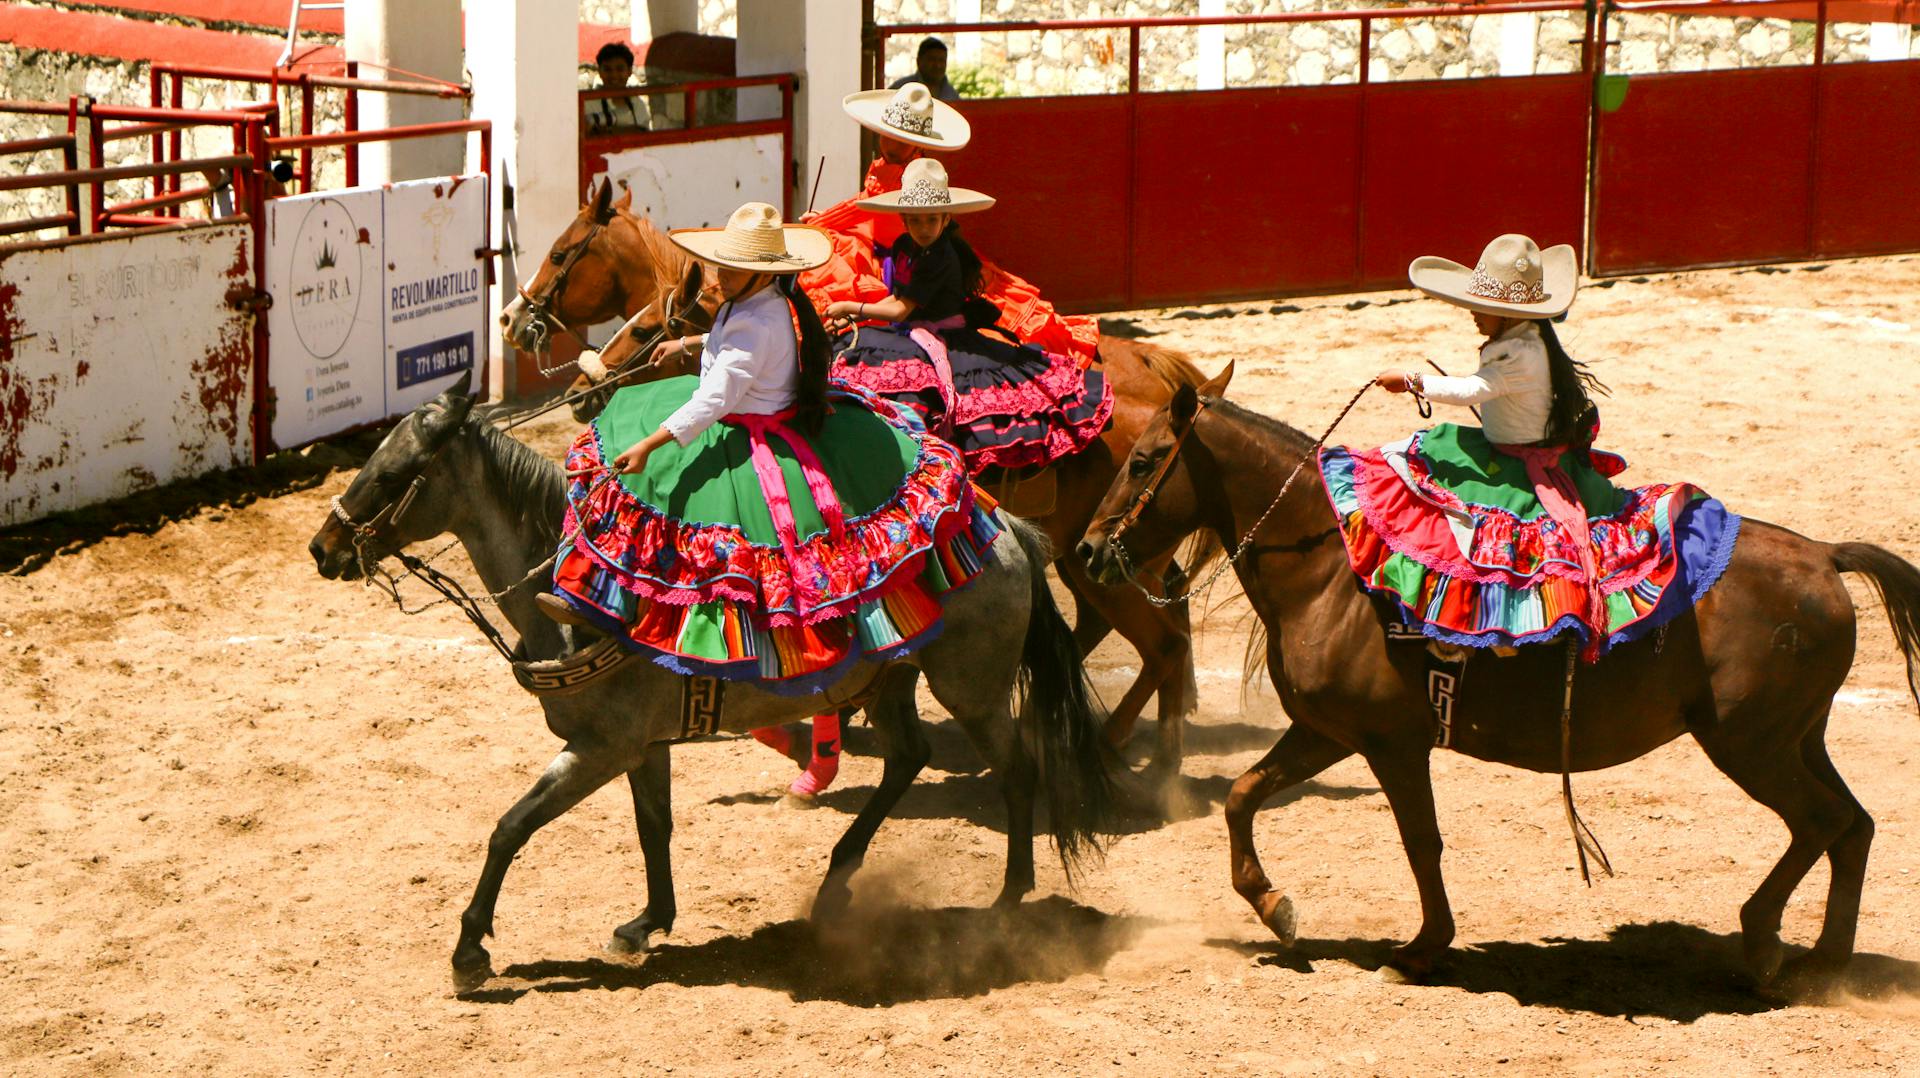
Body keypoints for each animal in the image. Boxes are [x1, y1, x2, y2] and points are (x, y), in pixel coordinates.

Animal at [307, 380, 1121, 991]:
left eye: (391, 475)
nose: (323, 547)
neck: (573, 589)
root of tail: (1008, 529)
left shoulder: (600, 749)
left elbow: (511, 827)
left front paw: (470, 950)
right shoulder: (642, 746)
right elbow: (654, 827)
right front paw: (646, 924)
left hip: (971, 687)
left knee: (1015, 771)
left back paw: (1007, 898)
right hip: (893, 679)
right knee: (908, 758)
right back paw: (837, 879)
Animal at [503, 184, 1205, 772]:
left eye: (561, 253)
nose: (513, 320)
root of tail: (1157, 380)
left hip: (1103, 563)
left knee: (1161, 642)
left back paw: (1137, 753)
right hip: (1095, 559)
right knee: (1143, 625)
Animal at [1075, 365, 1920, 991]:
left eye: (1143, 461)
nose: (1085, 551)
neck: (1332, 570)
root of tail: (1822, 556)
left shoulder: (1390, 742)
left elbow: (1421, 840)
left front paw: (1423, 948)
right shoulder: (1324, 731)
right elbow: (1244, 796)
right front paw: (1276, 907)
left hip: (1751, 745)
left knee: (1821, 823)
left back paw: (1763, 942)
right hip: (1797, 739)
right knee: (1854, 825)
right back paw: (1824, 962)